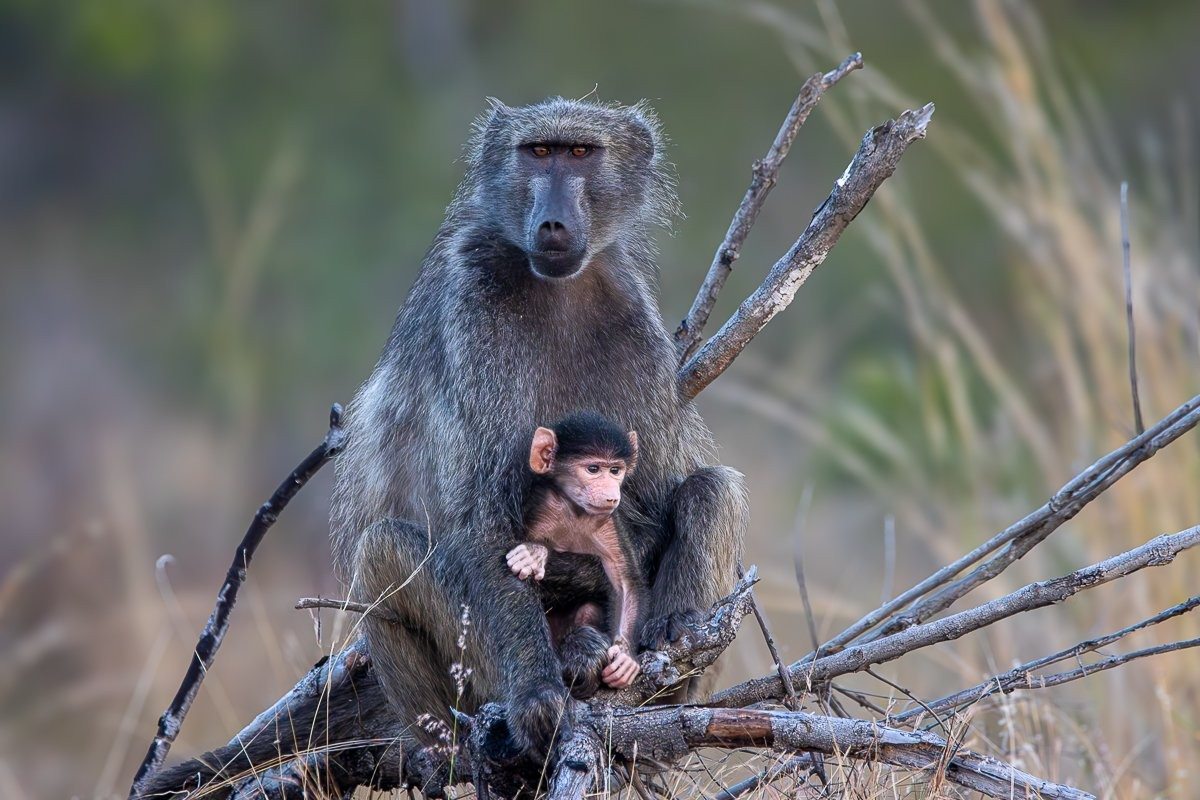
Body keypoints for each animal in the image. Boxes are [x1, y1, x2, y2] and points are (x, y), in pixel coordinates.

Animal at [506, 412, 644, 695]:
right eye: (593, 469)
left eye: (615, 470)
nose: (611, 495)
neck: (574, 509)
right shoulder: (541, 509)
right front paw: (535, 553)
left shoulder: (609, 523)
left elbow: (625, 581)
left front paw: (626, 657)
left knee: (588, 610)